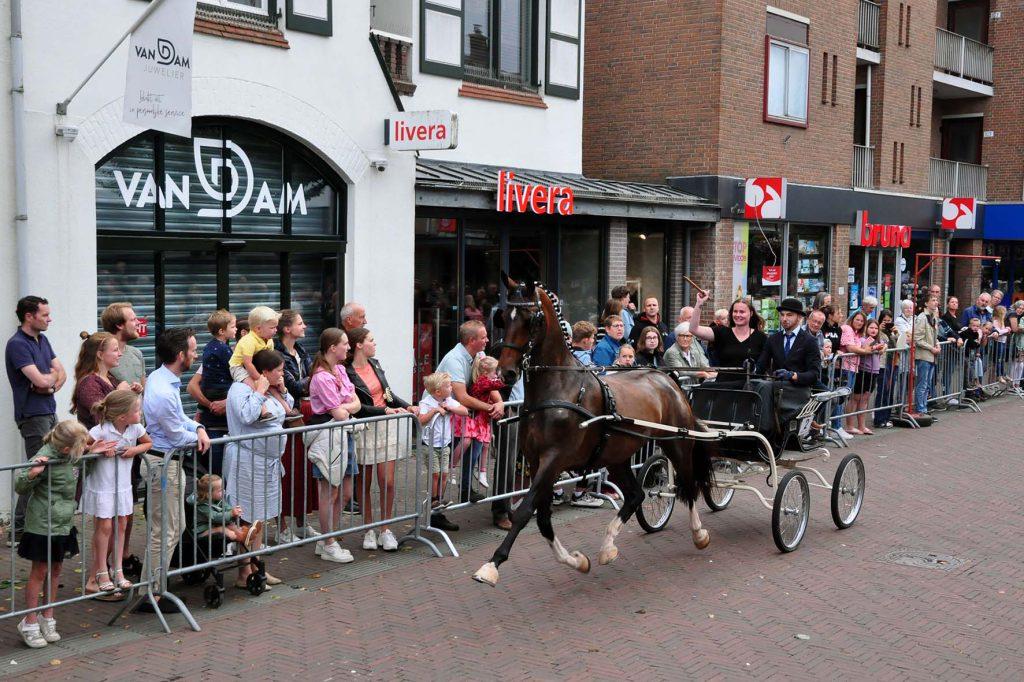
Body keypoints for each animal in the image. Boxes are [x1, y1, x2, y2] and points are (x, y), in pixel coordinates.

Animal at [468, 276, 712, 585]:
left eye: (531, 318)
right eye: (502, 317)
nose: (506, 373)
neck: (559, 388)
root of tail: (668, 379)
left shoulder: (553, 460)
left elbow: (525, 511)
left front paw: (492, 565)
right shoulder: (537, 462)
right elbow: (543, 519)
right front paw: (577, 561)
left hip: (677, 444)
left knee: (689, 486)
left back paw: (699, 534)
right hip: (618, 456)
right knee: (636, 495)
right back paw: (607, 548)